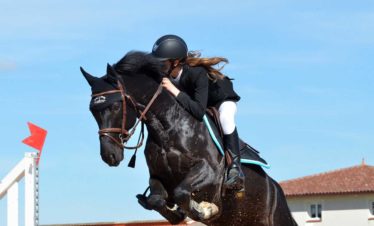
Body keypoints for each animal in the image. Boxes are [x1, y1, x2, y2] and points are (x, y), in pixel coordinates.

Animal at [82, 51, 298, 226]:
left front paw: (207, 209)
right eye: (92, 111)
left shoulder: (210, 172)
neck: (167, 128)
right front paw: (176, 214)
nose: (109, 155)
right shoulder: (158, 177)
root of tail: (275, 188)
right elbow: (156, 200)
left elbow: (182, 192)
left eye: (115, 106)